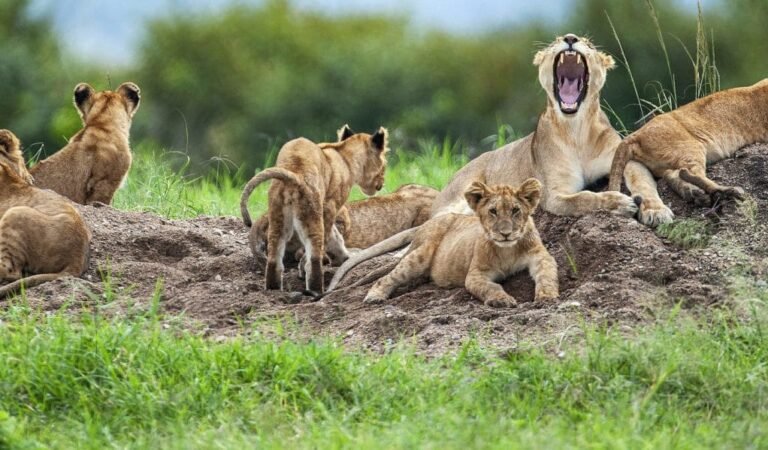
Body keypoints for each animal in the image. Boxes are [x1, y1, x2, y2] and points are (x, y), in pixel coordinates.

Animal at [240, 125, 389, 294]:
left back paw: (274, 290)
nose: (382, 183)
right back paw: (315, 290)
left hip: (278, 219)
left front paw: (343, 256)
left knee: (274, 259)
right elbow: (329, 235)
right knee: (313, 257)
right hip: (311, 214)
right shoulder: (330, 206)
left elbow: (334, 235)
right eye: (384, 164)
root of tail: (294, 174)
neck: (345, 156)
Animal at [327, 179, 558, 307]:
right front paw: (501, 300)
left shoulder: (541, 256)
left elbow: (547, 274)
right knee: (389, 276)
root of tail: (428, 223)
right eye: (493, 211)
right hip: (419, 256)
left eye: (515, 210)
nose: (505, 234)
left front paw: (547, 296)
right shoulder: (475, 274)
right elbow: (490, 287)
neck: (507, 250)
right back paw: (375, 296)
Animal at [431, 34, 671, 226]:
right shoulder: (553, 195)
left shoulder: (622, 155)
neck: (576, 129)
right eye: (556, 40)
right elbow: (585, 198)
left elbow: (643, 181)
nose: (571, 38)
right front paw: (621, 202)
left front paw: (657, 211)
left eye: (588, 44)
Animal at [608, 79, 768, 207]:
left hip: (666, 161)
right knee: (688, 172)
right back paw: (727, 191)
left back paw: (694, 194)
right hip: (691, 147)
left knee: (671, 175)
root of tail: (634, 135)